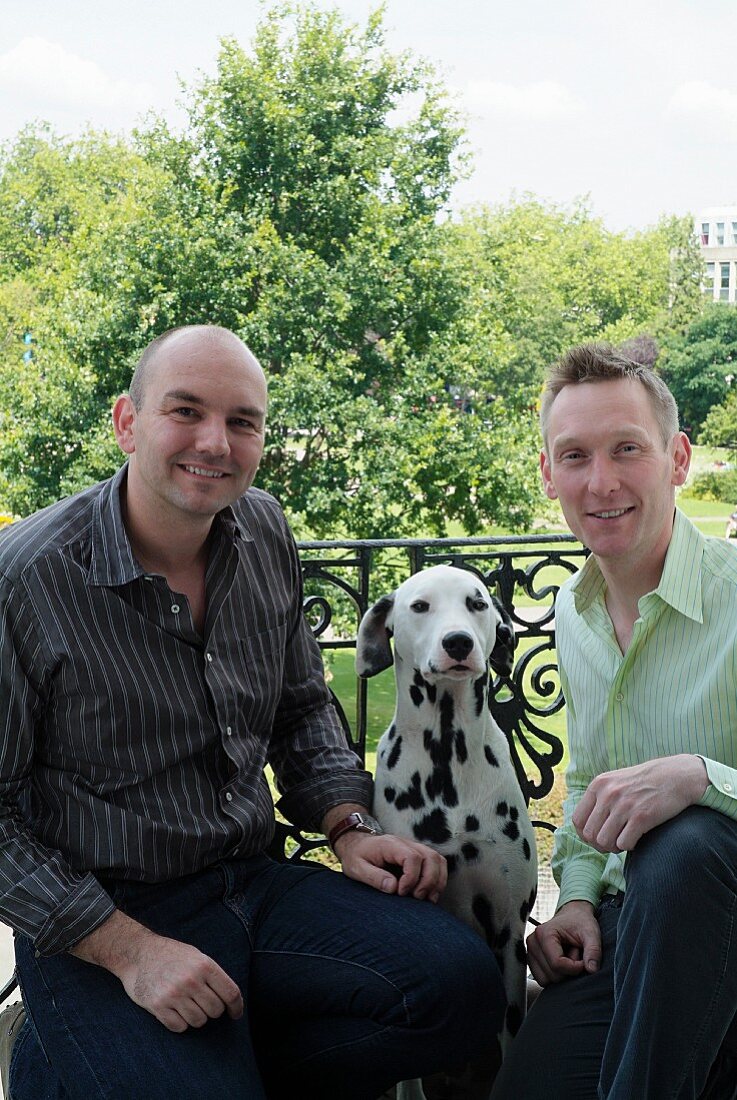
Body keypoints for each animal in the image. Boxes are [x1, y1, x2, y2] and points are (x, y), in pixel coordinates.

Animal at [356, 563, 536, 1095]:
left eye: (476, 603)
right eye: (420, 606)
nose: (458, 642)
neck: (447, 760)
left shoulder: (509, 932)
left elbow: (511, 1034)